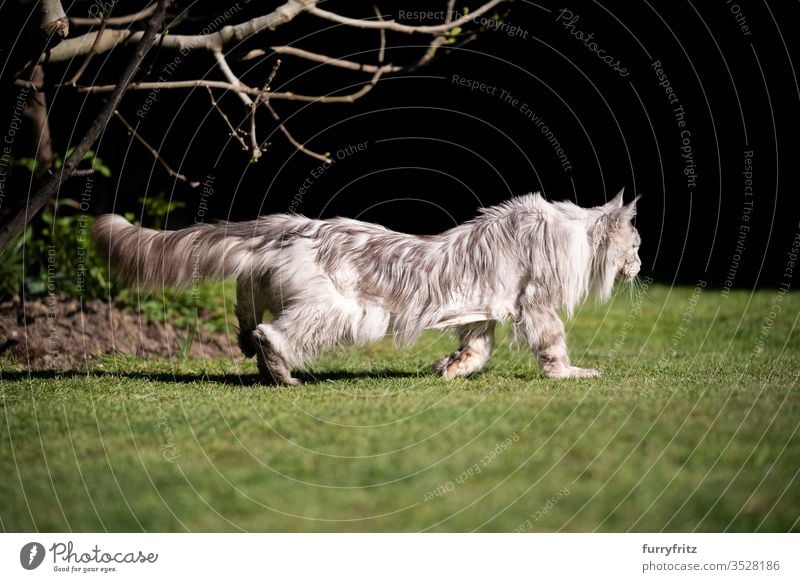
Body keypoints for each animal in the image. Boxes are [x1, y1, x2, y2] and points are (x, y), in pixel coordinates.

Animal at [92, 189, 644, 386]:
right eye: (636, 246)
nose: (641, 266)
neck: (571, 233)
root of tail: (293, 225)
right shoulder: (535, 304)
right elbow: (554, 349)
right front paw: (572, 374)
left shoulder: (484, 311)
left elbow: (475, 351)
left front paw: (449, 370)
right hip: (337, 312)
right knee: (274, 336)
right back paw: (282, 376)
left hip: (260, 285)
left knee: (247, 323)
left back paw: (256, 357)